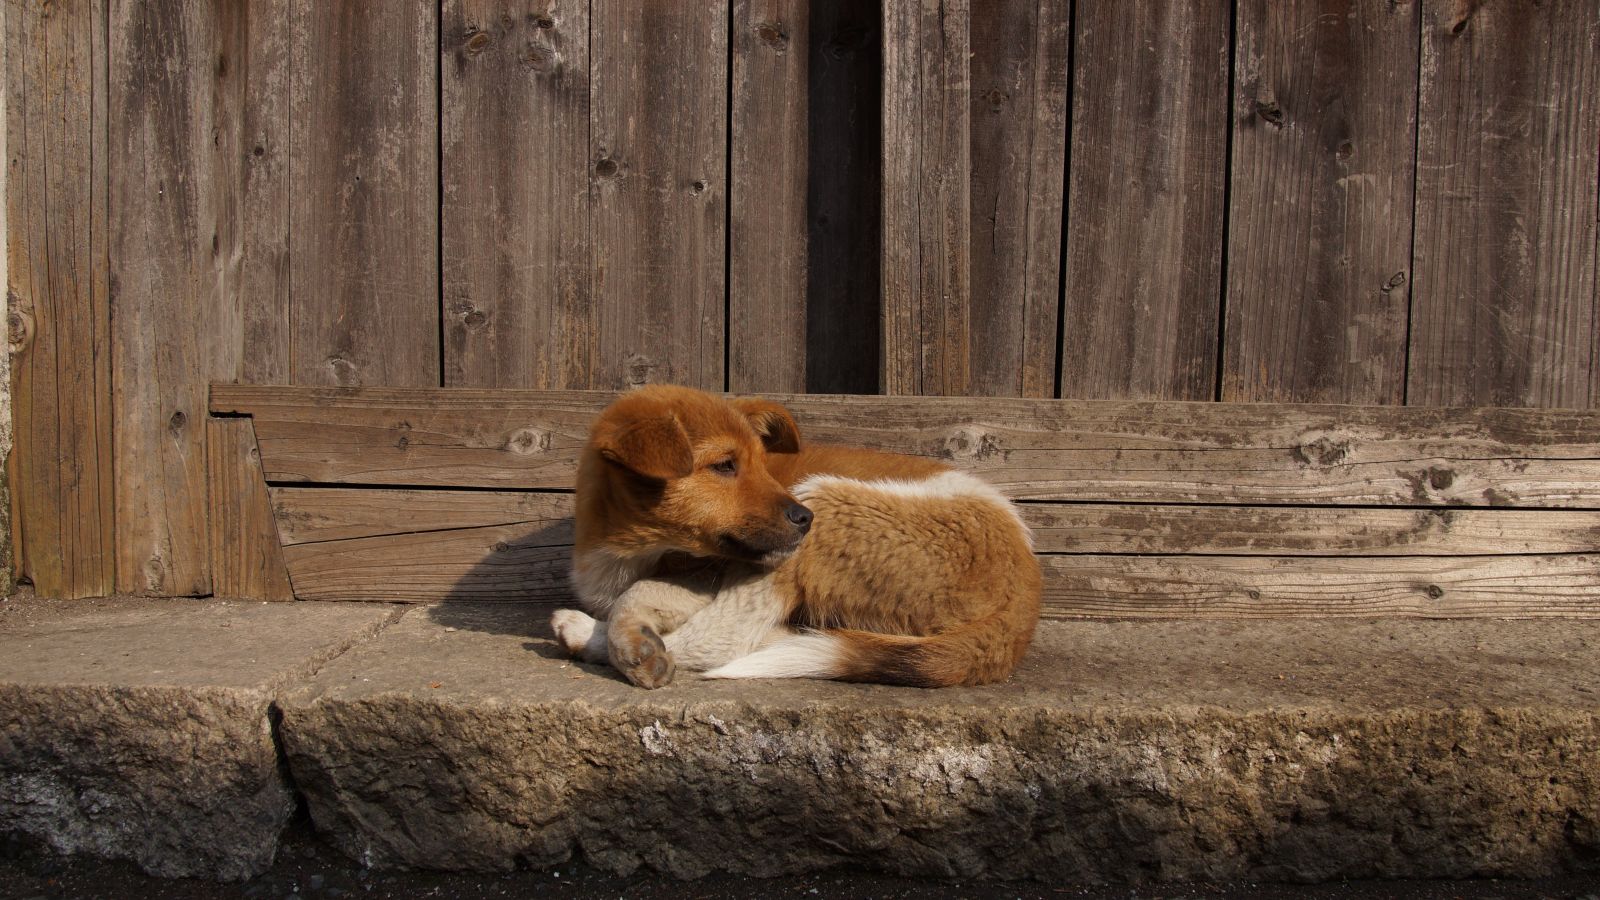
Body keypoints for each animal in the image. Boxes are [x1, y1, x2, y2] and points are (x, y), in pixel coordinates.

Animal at [550, 385, 1043, 685]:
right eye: (725, 465)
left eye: (763, 464)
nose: (803, 518)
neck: (627, 548)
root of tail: (1025, 601)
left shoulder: (709, 575)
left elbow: (638, 594)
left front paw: (626, 640)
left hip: (823, 506)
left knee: (723, 639)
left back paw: (583, 631)